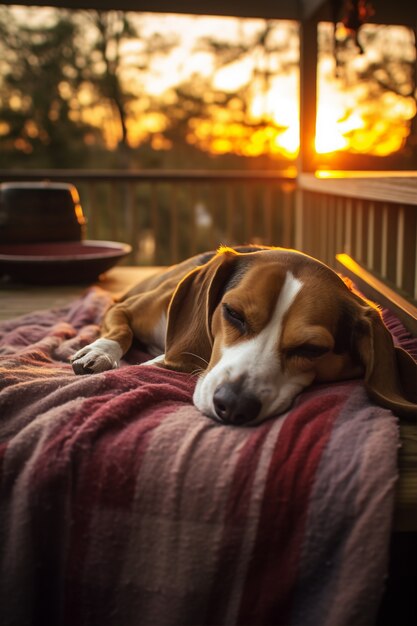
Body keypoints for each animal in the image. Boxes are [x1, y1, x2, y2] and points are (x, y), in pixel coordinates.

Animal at [71, 244, 416, 424]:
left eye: (312, 349)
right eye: (233, 313)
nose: (234, 405)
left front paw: (154, 362)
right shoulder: (123, 309)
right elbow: (120, 331)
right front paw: (99, 352)